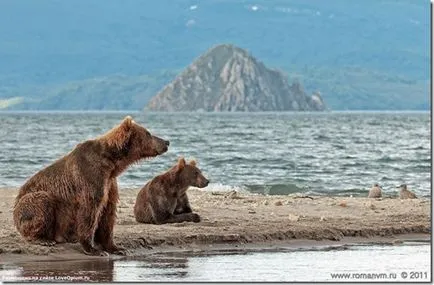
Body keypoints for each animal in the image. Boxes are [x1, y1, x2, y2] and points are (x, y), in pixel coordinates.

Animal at [13, 115, 170, 255]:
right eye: (148, 133)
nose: (167, 141)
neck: (112, 162)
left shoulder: (110, 182)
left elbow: (108, 212)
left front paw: (116, 248)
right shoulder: (90, 175)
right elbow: (90, 210)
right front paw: (93, 249)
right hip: (29, 204)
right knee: (40, 201)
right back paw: (42, 239)